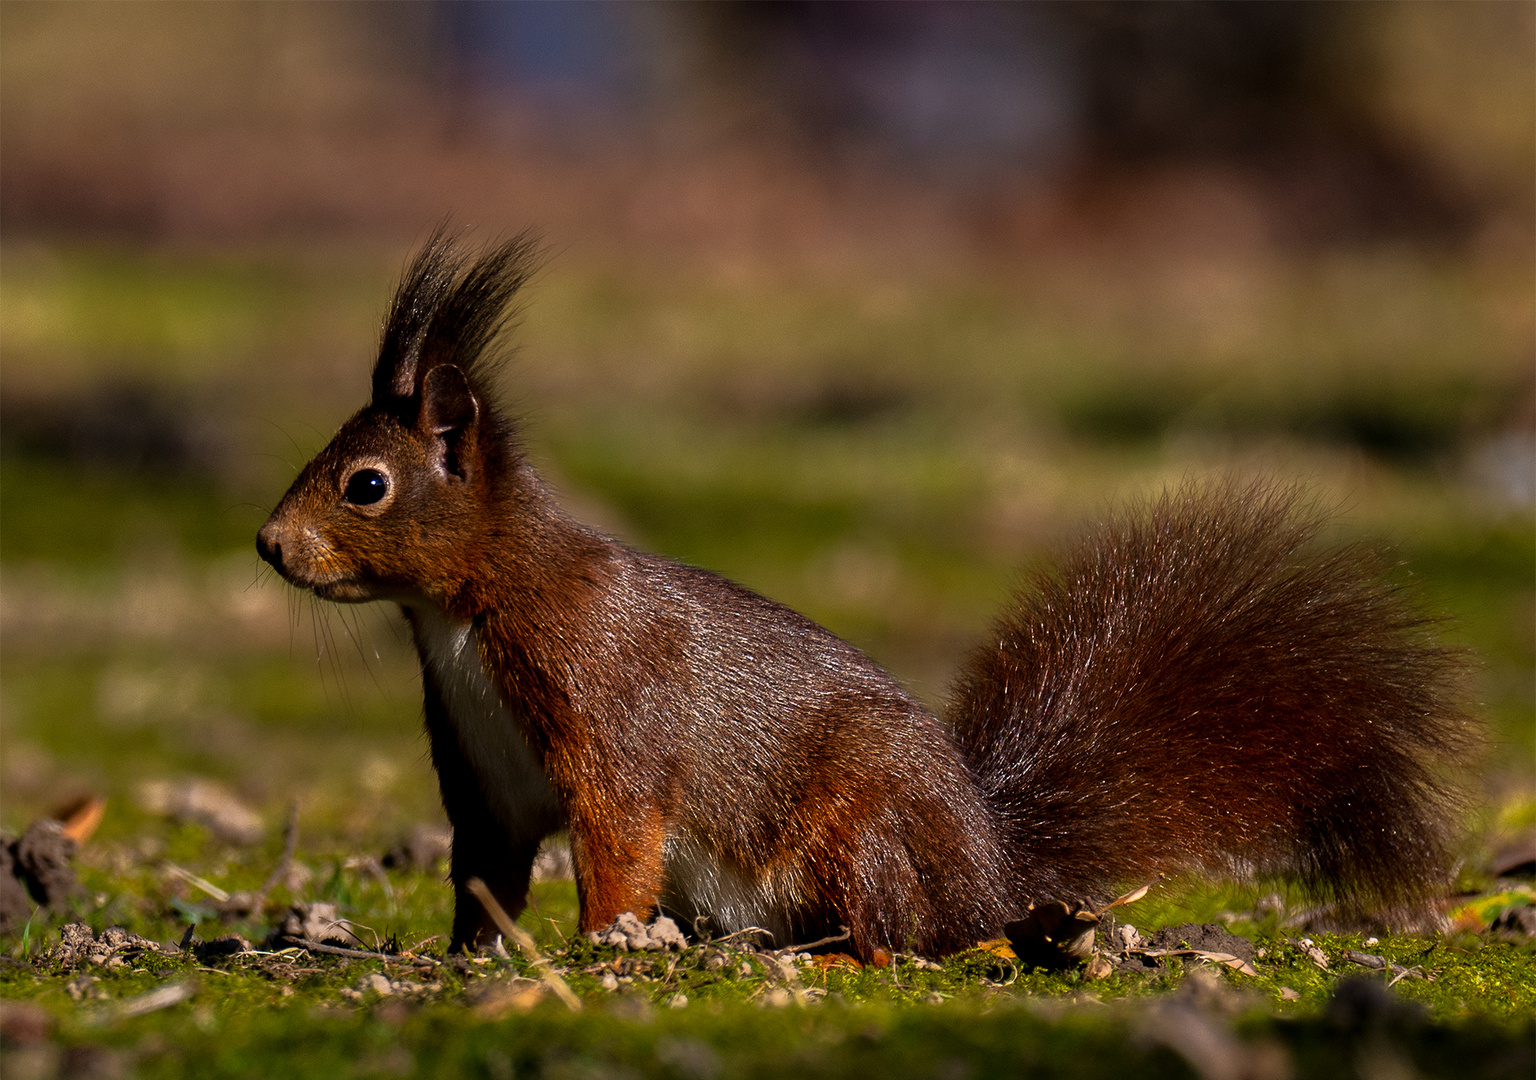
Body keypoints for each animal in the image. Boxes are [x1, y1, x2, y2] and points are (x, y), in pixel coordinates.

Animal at [254, 231, 1474, 958]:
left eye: (366, 484)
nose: (268, 545)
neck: (468, 610)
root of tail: (990, 865)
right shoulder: (486, 775)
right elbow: (485, 872)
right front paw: (470, 959)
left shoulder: (607, 706)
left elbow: (621, 834)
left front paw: (602, 947)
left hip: (859, 823)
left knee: (903, 933)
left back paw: (833, 950)